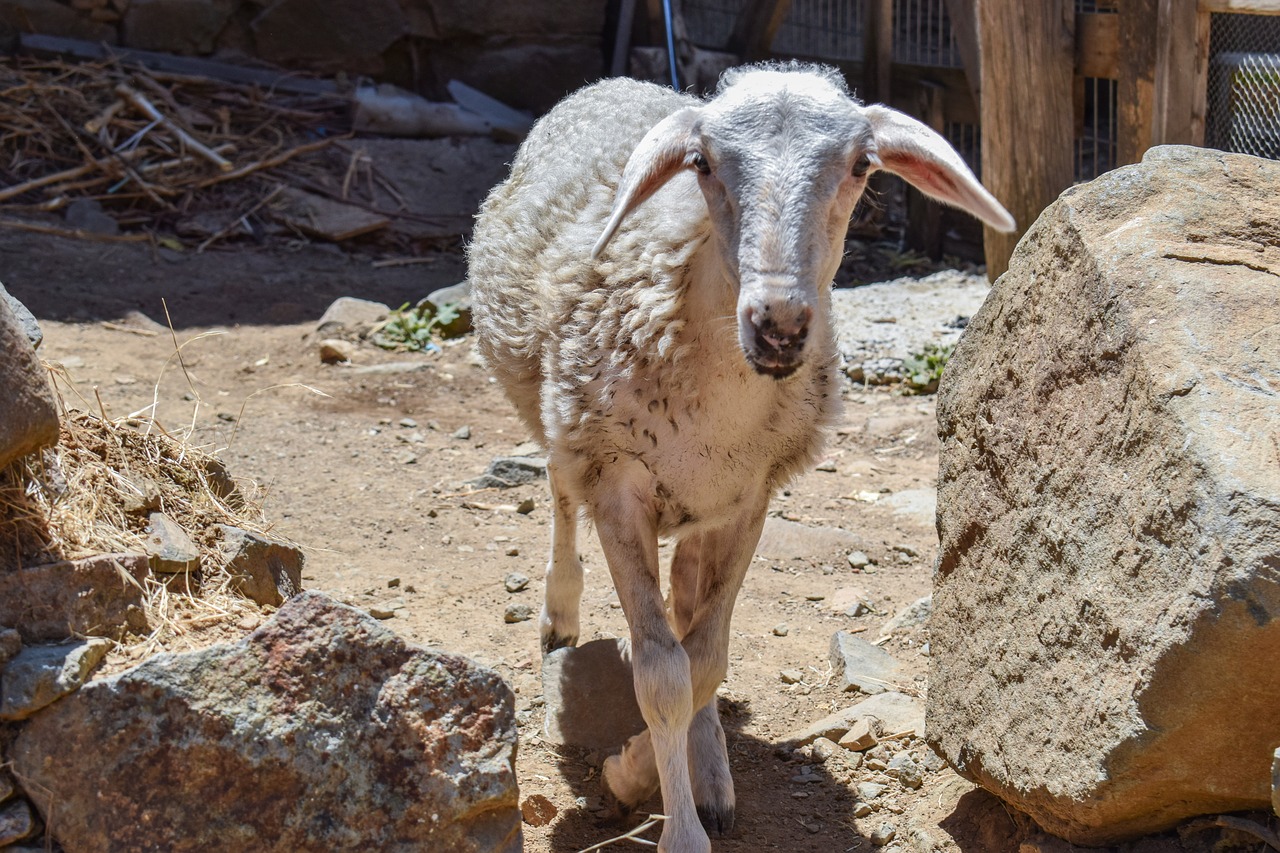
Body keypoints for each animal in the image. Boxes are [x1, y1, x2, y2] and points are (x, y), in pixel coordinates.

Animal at [465, 63, 1013, 845]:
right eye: (701, 163)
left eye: (862, 165)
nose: (779, 327)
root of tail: (616, 78)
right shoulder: (618, 484)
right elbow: (662, 673)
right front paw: (666, 820)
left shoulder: (749, 497)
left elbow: (704, 661)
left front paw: (646, 772)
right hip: (563, 422)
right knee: (561, 495)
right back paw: (559, 612)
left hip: (701, 499)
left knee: (689, 605)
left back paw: (711, 773)